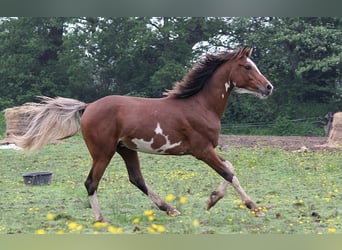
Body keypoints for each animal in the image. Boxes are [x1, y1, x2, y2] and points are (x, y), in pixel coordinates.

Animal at [12, 47, 272, 223]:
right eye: (247, 67)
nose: (268, 87)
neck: (200, 105)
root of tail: (88, 106)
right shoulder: (202, 150)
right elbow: (228, 172)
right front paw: (251, 206)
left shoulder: (209, 149)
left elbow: (230, 168)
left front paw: (213, 199)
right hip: (103, 153)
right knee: (91, 182)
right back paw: (101, 219)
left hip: (126, 149)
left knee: (136, 178)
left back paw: (170, 209)